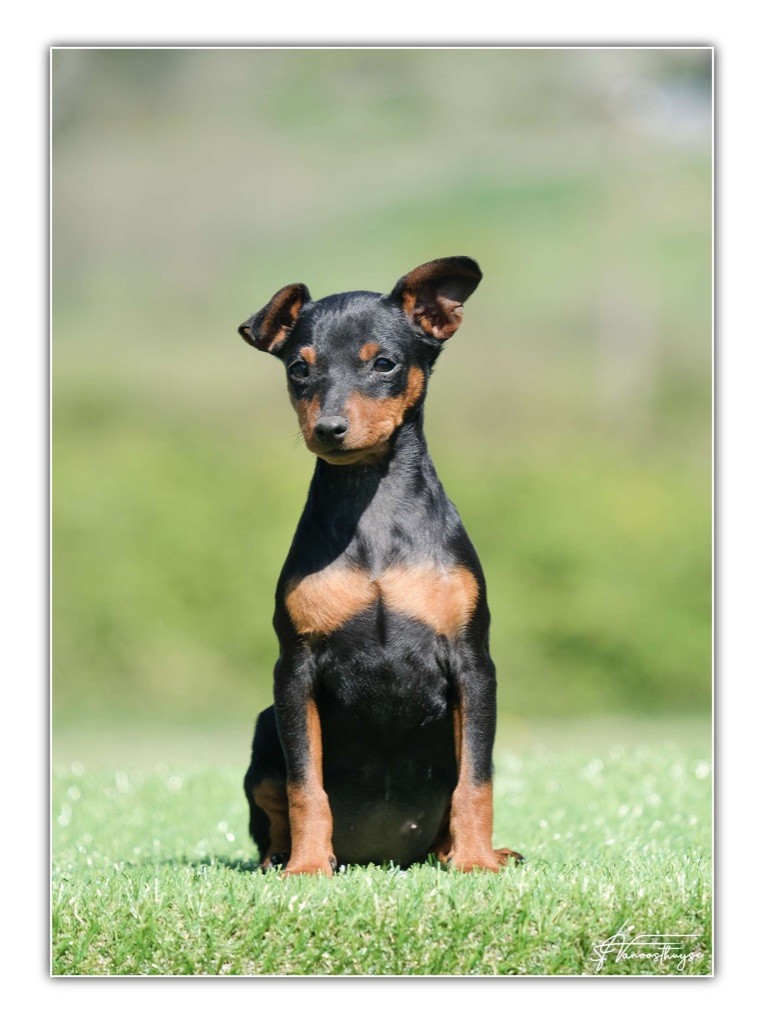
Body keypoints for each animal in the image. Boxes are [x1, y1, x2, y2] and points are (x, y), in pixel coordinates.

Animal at [239, 257, 521, 875]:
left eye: (385, 363)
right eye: (299, 368)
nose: (329, 429)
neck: (373, 506)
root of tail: (382, 855)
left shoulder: (473, 663)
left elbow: (476, 779)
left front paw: (474, 862)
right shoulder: (293, 670)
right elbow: (305, 785)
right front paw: (308, 867)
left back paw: (475, 851)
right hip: (265, 725)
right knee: (271, 804)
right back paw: (282, 858)